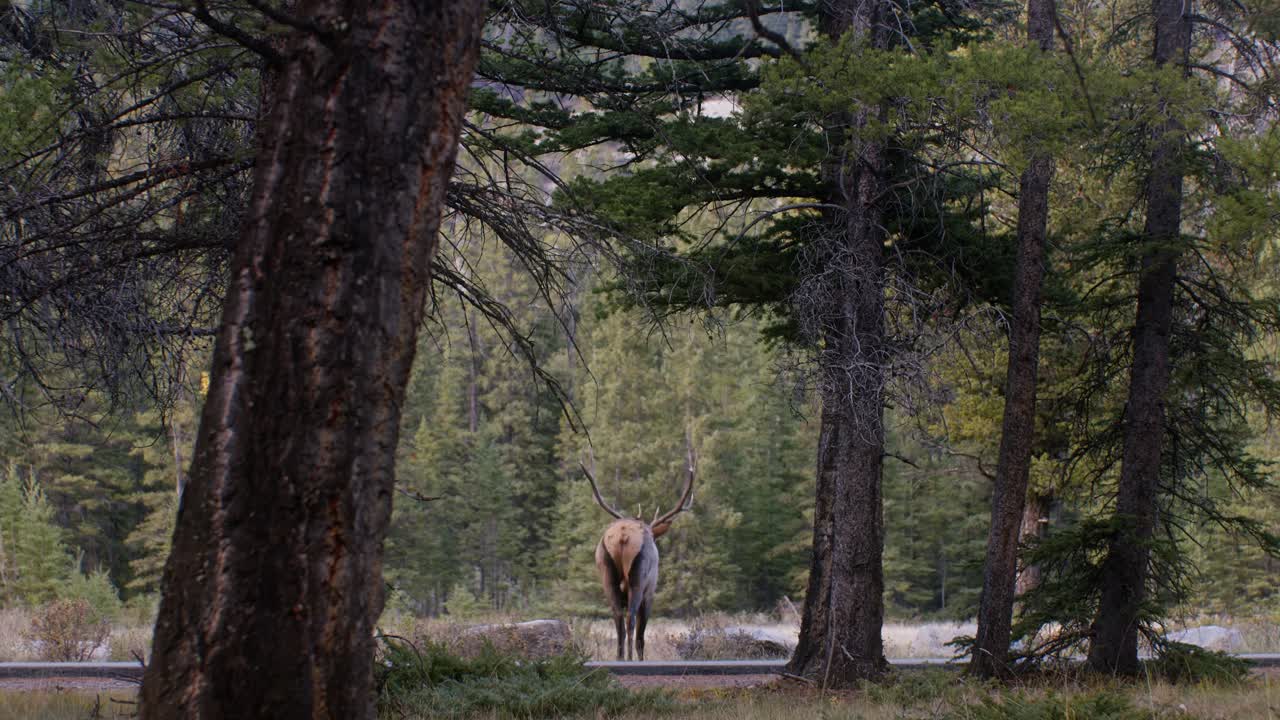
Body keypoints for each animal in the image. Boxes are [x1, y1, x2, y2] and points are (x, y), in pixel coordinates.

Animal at [579, 440, 695, 661]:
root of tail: (623, 536)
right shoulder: (651, 591)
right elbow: (642, 635)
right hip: (638, 578)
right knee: (631, 619)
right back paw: (630, 658)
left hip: (606, 572)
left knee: (618, 617)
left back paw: (619, 658)